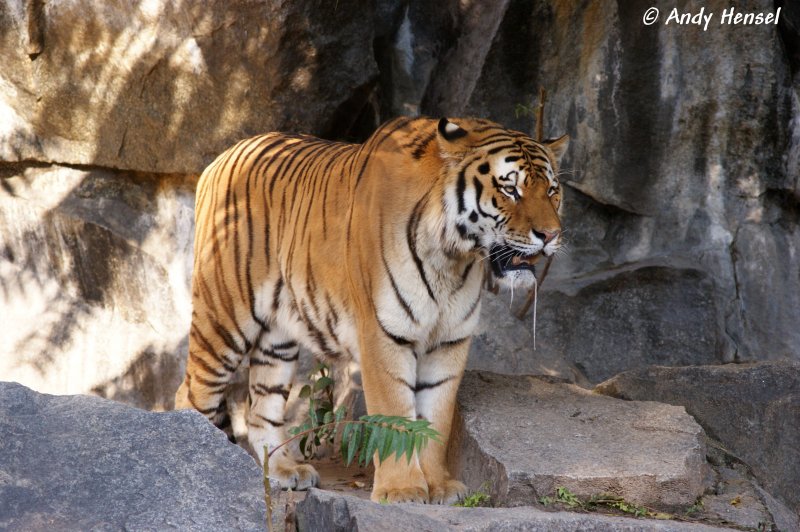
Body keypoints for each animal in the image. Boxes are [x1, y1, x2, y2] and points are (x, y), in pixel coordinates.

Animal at [173, 116, 568, 502]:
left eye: (551, 191)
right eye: (510, 189)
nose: (550, 235)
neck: (453, 259)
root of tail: (222, 157)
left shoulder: (449, 341)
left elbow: (436, 418)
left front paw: (439, 486)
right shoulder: (383, 333)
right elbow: (395, 413)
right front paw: (402, 489)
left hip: (277, 338)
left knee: (261, 408)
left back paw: (286, 471)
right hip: (223, 318)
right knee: (191, 393)